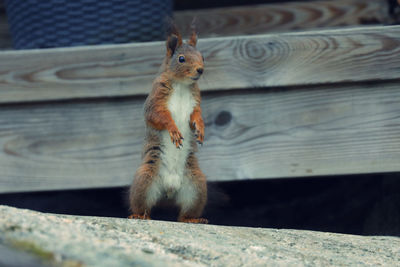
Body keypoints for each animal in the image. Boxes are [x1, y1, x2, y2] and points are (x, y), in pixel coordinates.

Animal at [129, 22, 209, 224]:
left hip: (196, 186)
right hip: (145, 179)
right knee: (143, 205)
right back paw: (139, 215)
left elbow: (197, 115)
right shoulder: (156, 100)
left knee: (183, 215)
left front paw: (201, 128)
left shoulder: (195, 102)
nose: (200, 70)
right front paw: (173, 130)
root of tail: (170, 188)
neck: (181, 85)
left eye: (203, 56)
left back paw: (193, 219)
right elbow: (158, 117)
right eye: (181, 59)